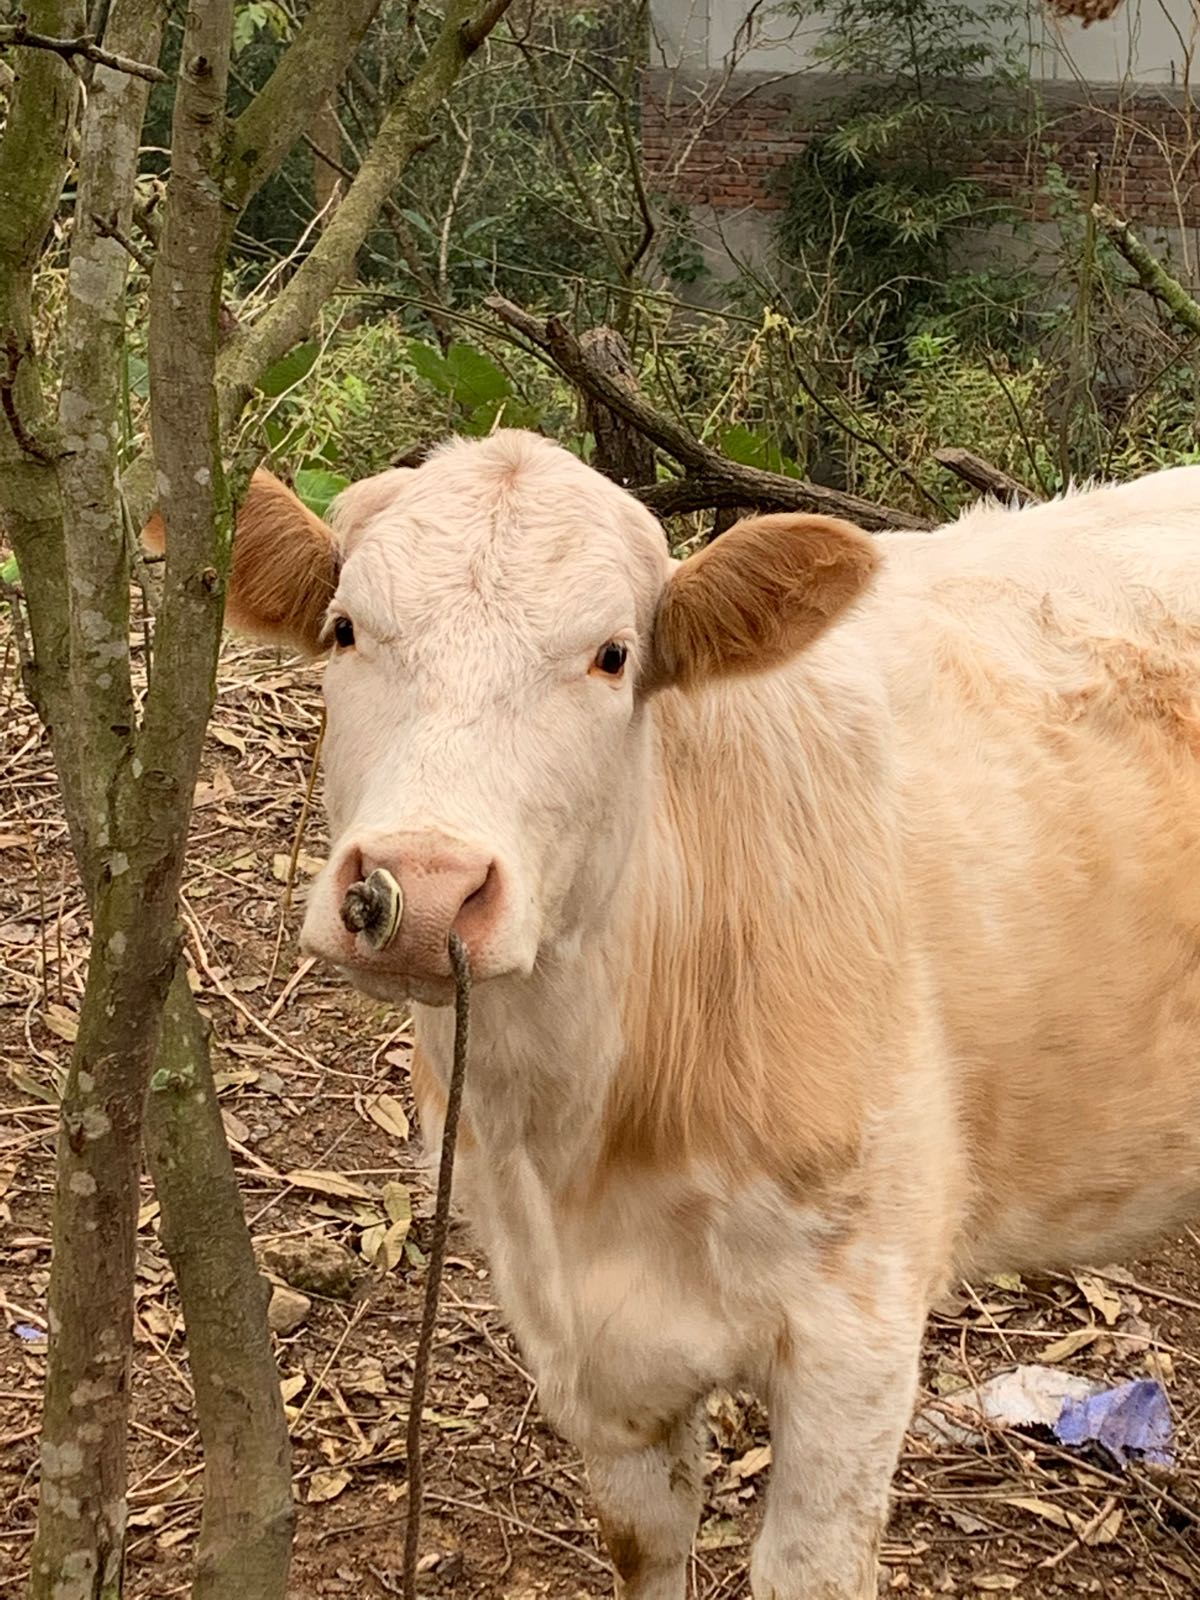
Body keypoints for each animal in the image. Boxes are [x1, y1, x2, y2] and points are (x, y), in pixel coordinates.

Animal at [148, 432, 1200, 1593]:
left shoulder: (861, 1329)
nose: (421, 890)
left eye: (613, 654)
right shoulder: (577, 1335)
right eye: (344, 630)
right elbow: (643, 1540)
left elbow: (807, 1564)